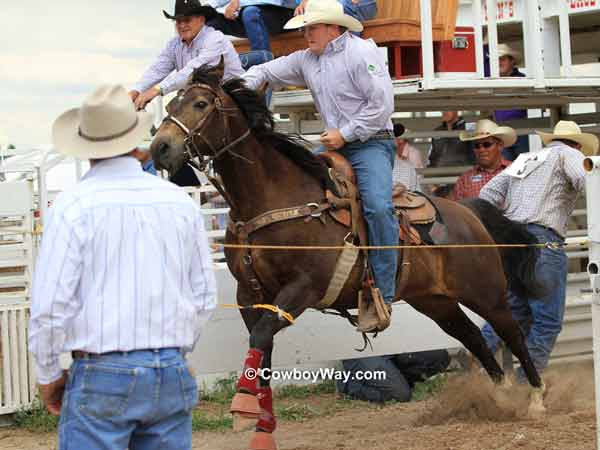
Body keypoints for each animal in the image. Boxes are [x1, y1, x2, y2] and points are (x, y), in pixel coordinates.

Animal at [151, 64, 548, 450]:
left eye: (201, 103)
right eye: (172, 103)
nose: (159, 148)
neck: (275, 198)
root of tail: (467, 210)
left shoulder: (303, 289)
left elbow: (262, 338)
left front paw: (242, 407)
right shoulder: (250, 296)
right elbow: (262, 349)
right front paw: (262, 429)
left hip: (486, 293)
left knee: (511, 332)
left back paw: (536, 399)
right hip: (437, 302)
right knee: (473, 337)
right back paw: (500, 398)